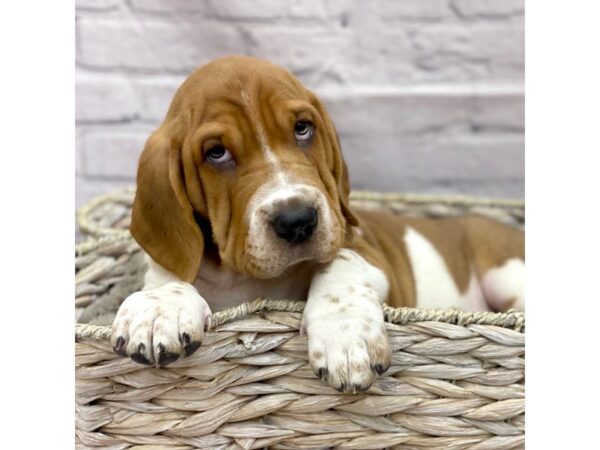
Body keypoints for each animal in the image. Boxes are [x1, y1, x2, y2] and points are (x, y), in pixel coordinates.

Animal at [112, 55, 524, 394]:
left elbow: (338, 265)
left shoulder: (367, 252)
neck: (248, 279)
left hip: (505, 274)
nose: (297, 220)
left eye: (302, 128)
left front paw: (345, 335)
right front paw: (157, 309)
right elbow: (169, 272)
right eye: (216, 152)